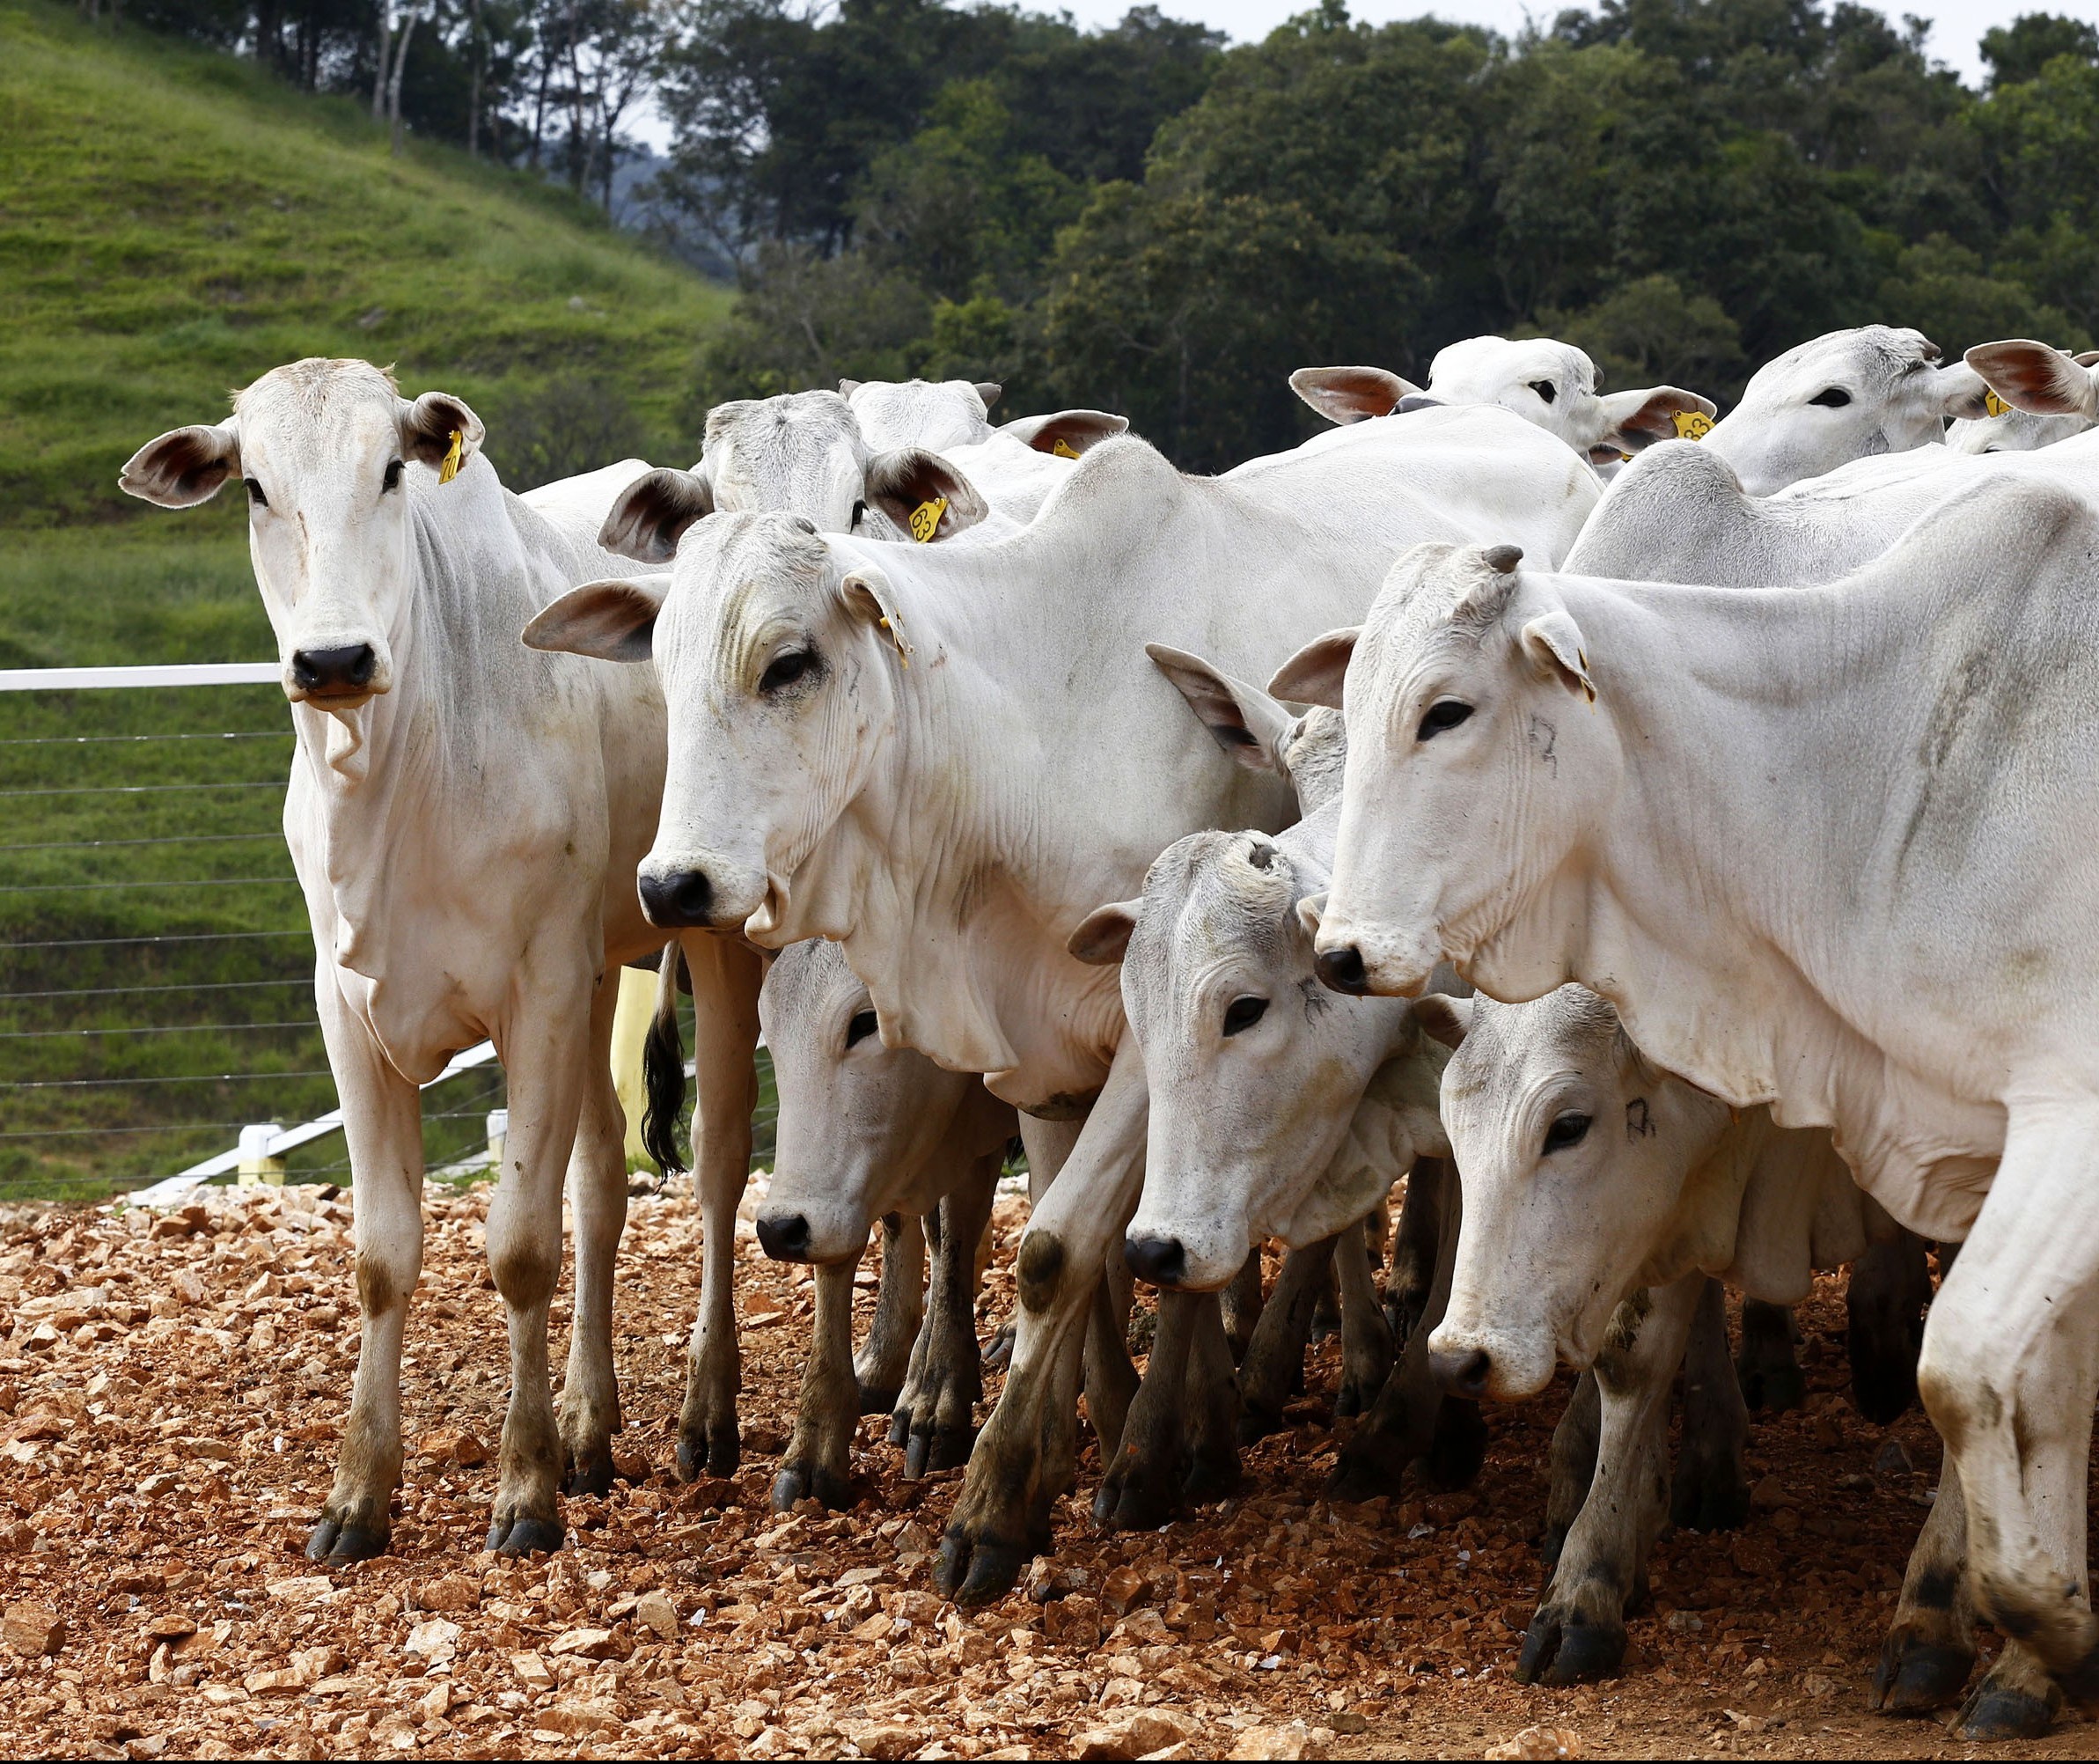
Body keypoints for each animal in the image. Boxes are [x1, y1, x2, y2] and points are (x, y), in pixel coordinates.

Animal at [108, 361, 764, 1554]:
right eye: (255, 486)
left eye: (391, 469)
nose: (331, 660)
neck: (398, 777)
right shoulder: (352, 1009)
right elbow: (385, 1254)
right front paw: (359, 1494)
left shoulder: (536, 995)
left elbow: (519, 1247)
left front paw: (523, 1492)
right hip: (599, 969)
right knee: (603, 1180)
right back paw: (591, 1429)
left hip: (715, 940)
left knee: (720, 1161)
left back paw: (705, 1415)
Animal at [529, 409, 1604, 1596]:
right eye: (663, 673)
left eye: (790, 663)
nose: (674, 885)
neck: (1033, 723)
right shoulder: (1039, 1051)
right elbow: (1078, 1251)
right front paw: (1083, 1433)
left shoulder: (1159, 1043)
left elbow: (1068, 1252)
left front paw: (1027, 1496)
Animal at [1293, 478, 2099, 1705]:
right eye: (1456, 1128)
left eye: (1446, 711)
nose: (1339, 951)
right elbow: (1642, 1356)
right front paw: (1586, 1582)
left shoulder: (2045, 1126)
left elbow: (1973, 1372)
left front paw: (1992, 1630)